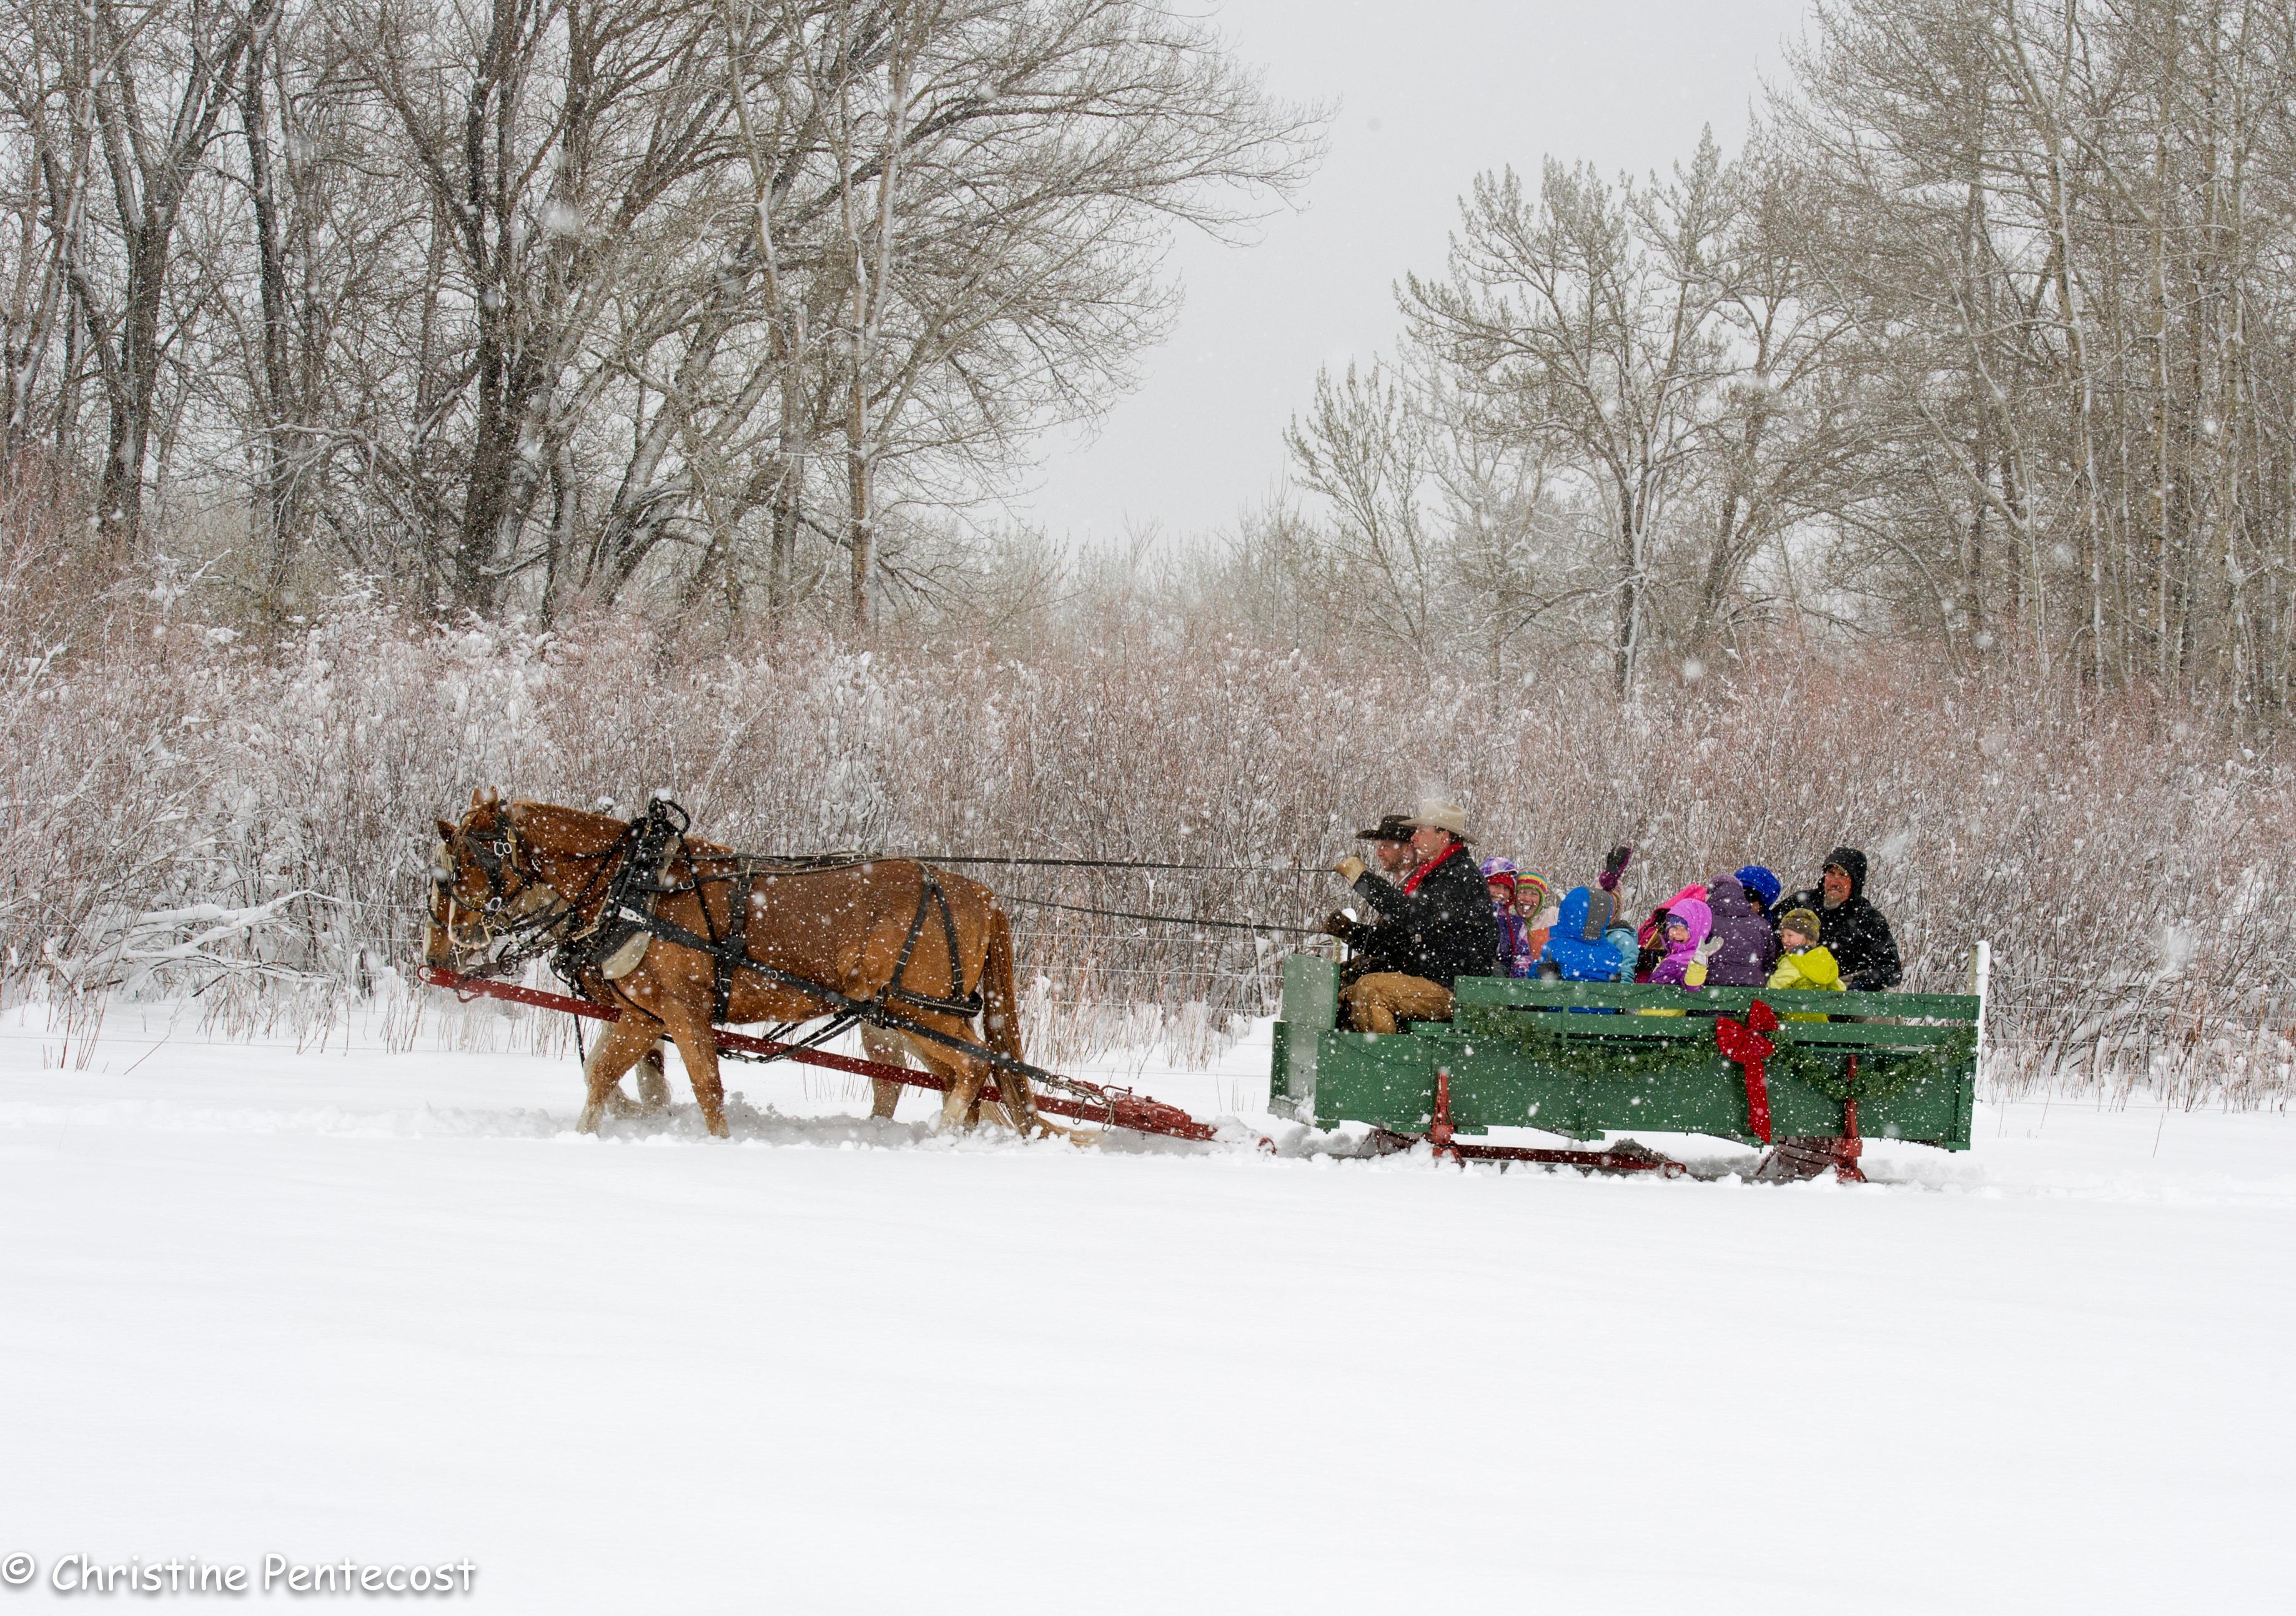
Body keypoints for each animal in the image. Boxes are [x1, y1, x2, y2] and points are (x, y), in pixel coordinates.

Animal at [425, 794, 1042, 1138]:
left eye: (454, 873)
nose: (435, 956)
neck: (637, 886)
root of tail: (981, 893)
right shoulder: (645, 1016)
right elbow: (602, 1074)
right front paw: (588, 1134)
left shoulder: (683, 1009)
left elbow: (707, 1088)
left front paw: (719, 1147)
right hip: (901, 1019)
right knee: (948, 1080)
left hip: (923, 1013)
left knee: (971, 1071)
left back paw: (942, 1140)